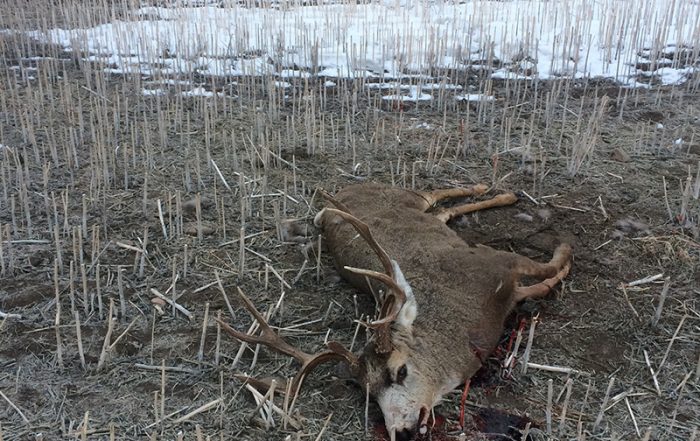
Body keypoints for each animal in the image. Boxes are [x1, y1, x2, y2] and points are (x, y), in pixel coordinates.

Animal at [217, 182, 572, 441]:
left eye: (400, 371)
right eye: (368, 393)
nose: (401, 431)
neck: (471, 326)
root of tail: (344, 191)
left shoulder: (494, 261)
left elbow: (546, 270)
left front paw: (566, 249)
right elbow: (539, 285)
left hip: (405, 195)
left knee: (435, 194)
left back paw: (499, 190)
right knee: (444, 212)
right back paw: (496, 192)